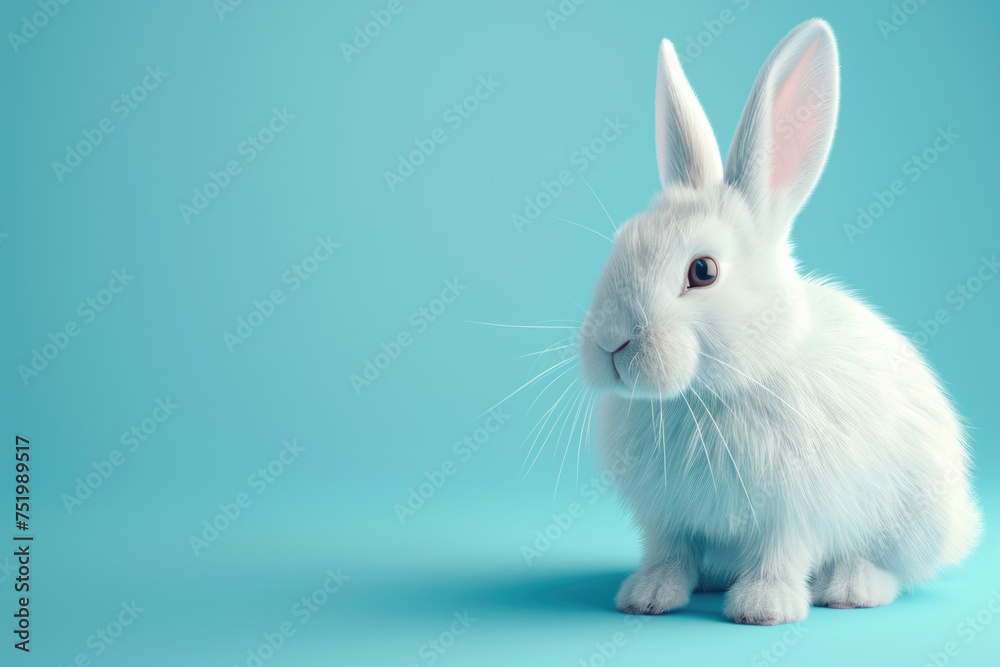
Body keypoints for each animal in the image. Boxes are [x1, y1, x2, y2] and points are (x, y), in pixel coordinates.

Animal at [577, 18, 982, 625]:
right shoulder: (666, 518)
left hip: (914, 521)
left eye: (703, 271)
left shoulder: (795, 510)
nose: (610, 343)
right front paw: (647, 597)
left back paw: (851, 587)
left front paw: (763, 608)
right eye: (622, 242)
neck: (711, 394)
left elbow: (781, 553)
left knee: (896, 569)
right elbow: (670, 552)